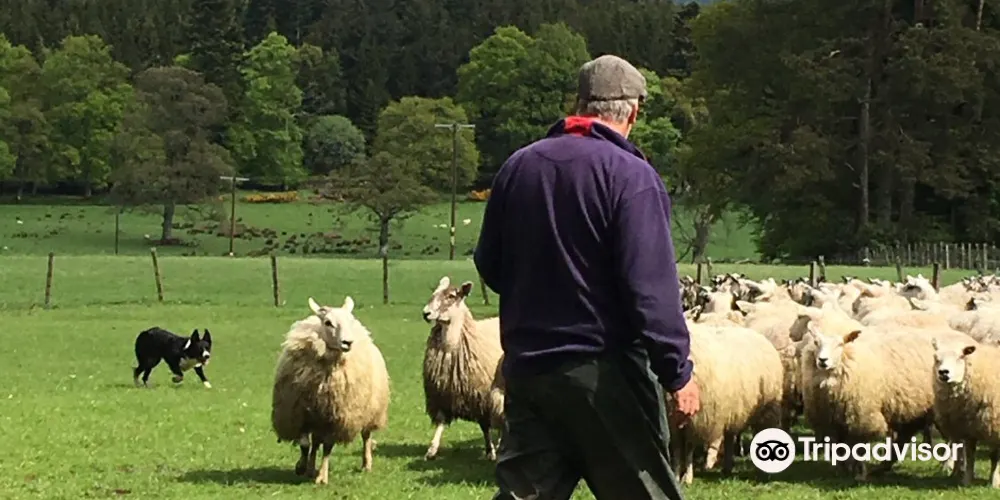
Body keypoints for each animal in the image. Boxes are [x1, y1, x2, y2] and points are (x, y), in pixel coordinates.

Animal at [271, 297, 391, 485]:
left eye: (349, 320)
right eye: (328, 322)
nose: (348, 342)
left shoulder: (336, 417)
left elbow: (327, 447)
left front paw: (322, 476)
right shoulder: (300, 413)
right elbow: (305, 444)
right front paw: (302, 467)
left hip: (370, 410)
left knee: (366, 436)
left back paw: (366, 464)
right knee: (315, 442)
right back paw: (310, 467)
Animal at [421, 276, 504, 461]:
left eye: (451, 296)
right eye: (434, 293)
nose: (425, 313)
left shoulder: (482, 396)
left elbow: (485, 426)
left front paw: (491, 451)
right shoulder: (443, 394)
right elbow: (441, 421)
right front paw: (432, 450)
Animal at [667, 322, 784, 484]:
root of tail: (760, 336)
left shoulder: (696, 419)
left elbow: (689, 447)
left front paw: (687, 477)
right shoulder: (672, 418)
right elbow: (677, 448)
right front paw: (676, 474)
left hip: (766, 409)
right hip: (733, 409)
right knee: (729, 437)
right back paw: (727, 466)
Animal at [931, 337, 1000, 487]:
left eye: (960, 356)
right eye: (937, 358)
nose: (943, 372)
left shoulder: (996, 426)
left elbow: (996, 457)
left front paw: (995, 482)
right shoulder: (967, 428)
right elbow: (970, 455)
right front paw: (966, 481)